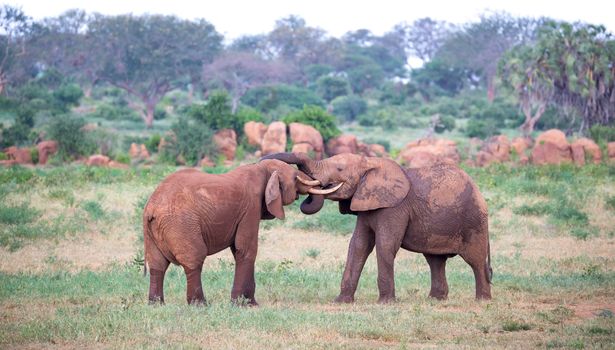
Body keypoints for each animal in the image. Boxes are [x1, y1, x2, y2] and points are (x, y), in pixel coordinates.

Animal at [143, 160, 324, 304]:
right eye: (295, 177)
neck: (261, 168)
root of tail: (151, 207)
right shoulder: (250, 207)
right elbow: (246, 249)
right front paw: (244, 304)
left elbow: (238, 250)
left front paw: (247, 302)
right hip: (182, 224)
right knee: (194, 259)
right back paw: (200, 305)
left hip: (154, 231)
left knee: (157, 265)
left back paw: (156, 304)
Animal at [262, 152, 494, 302]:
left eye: (339, 169)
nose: (263, 161)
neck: (370, 162)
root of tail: (479, 191)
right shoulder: (365, 203)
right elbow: (358, 245)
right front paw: (341, 301)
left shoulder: (394, 207)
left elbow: (385, 245)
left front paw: (386, 303)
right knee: (435, 261)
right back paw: (435, 300)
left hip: (474, 221)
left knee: (475, 260)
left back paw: (482, 300)